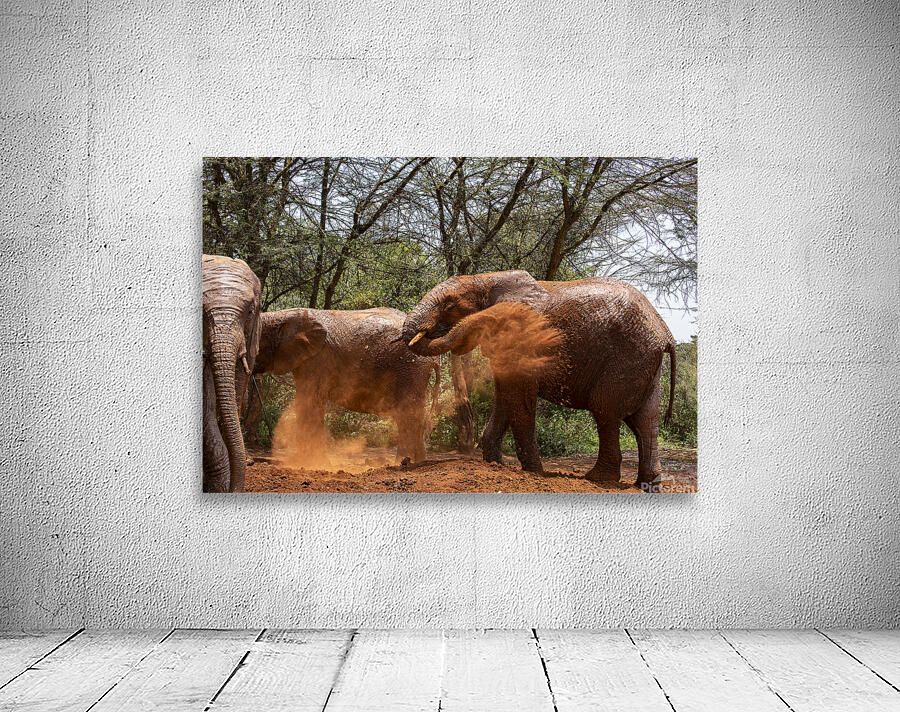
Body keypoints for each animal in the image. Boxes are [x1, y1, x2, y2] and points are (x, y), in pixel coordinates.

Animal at [254, 307, 441, 464]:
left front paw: (312, 464)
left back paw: (403, 462)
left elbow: (310, 402)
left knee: (407, 415)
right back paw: (418, 462)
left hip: (410, 369)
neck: (287, 315)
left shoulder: (317, 360)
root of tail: (434, 359)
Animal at [402, 270, 676, 491]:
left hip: (628, 357)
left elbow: (518, 399)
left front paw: (534, 472)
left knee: (605, 410)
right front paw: (495, 465)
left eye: (449, 305)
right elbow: (504, 397)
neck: (487, 278)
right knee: (646, 420)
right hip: (644, 363)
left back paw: (597, 479)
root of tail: (666, 333)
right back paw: (647, 485)